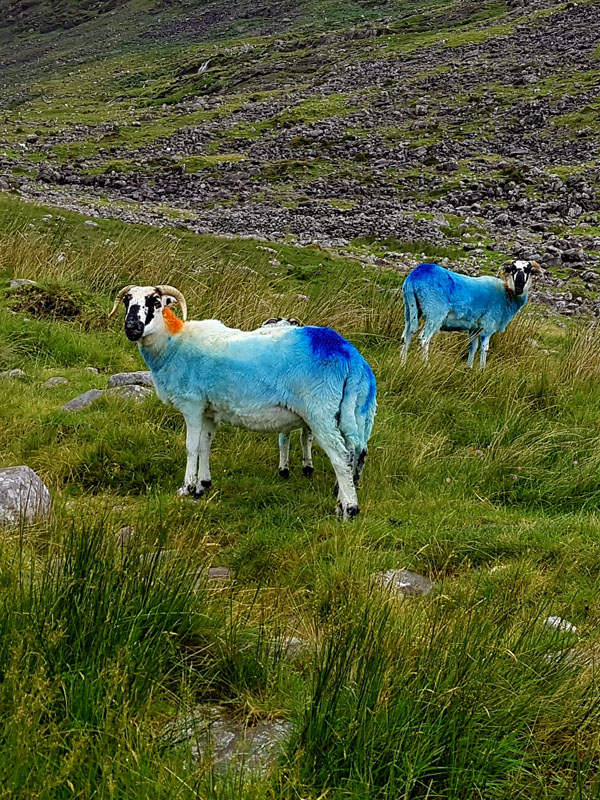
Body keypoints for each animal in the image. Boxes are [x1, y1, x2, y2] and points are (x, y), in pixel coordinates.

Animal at [400, 260, 540, 368]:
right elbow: (484, 348)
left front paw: (469, 368)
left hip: (410, 309)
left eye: (528, 270)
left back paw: (403, 364)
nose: (519, 285)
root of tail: (414, 278)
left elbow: (473, 347)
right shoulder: (488, 326)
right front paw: (482, 370)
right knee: (423, 339)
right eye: (513, 269)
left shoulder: (474, 328)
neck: (507, 294)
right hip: (434, 312)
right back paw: (426, 365)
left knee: (406, 336)